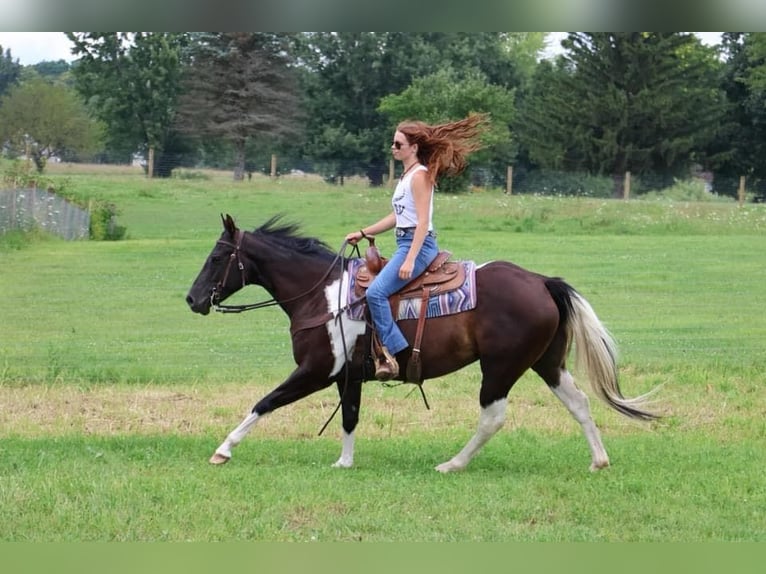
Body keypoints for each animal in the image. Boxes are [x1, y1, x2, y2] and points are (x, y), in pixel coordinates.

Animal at [185, 214, 659, 473]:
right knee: (579, 403)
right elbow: (350, 418)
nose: (192, 299)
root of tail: (542, 281)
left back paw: (452, 464)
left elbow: (264, 403)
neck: (321, 296)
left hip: (501, 367)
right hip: (547, 362)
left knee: (492, 418)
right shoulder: (348, 377)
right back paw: (599, 460)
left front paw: (222, 450)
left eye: (216, 257)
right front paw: (344, 462)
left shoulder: (316, 371)